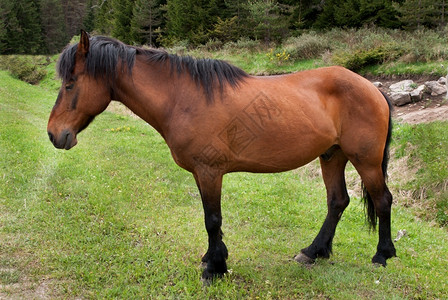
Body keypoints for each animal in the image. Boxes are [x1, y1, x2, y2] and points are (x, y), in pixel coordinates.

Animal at [46, 31, 396, 282]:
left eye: (70, 83)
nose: (54, 134)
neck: (183, 98)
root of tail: (373, 88)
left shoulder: (209, 171)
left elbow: (212, 219)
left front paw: (215, 268)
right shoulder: (203, 174)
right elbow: (210, 218)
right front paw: (212, 259)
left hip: (365, 160)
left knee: (382, 201)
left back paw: (382, 255)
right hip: (332, 155)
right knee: (337, 202)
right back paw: (313, 251)